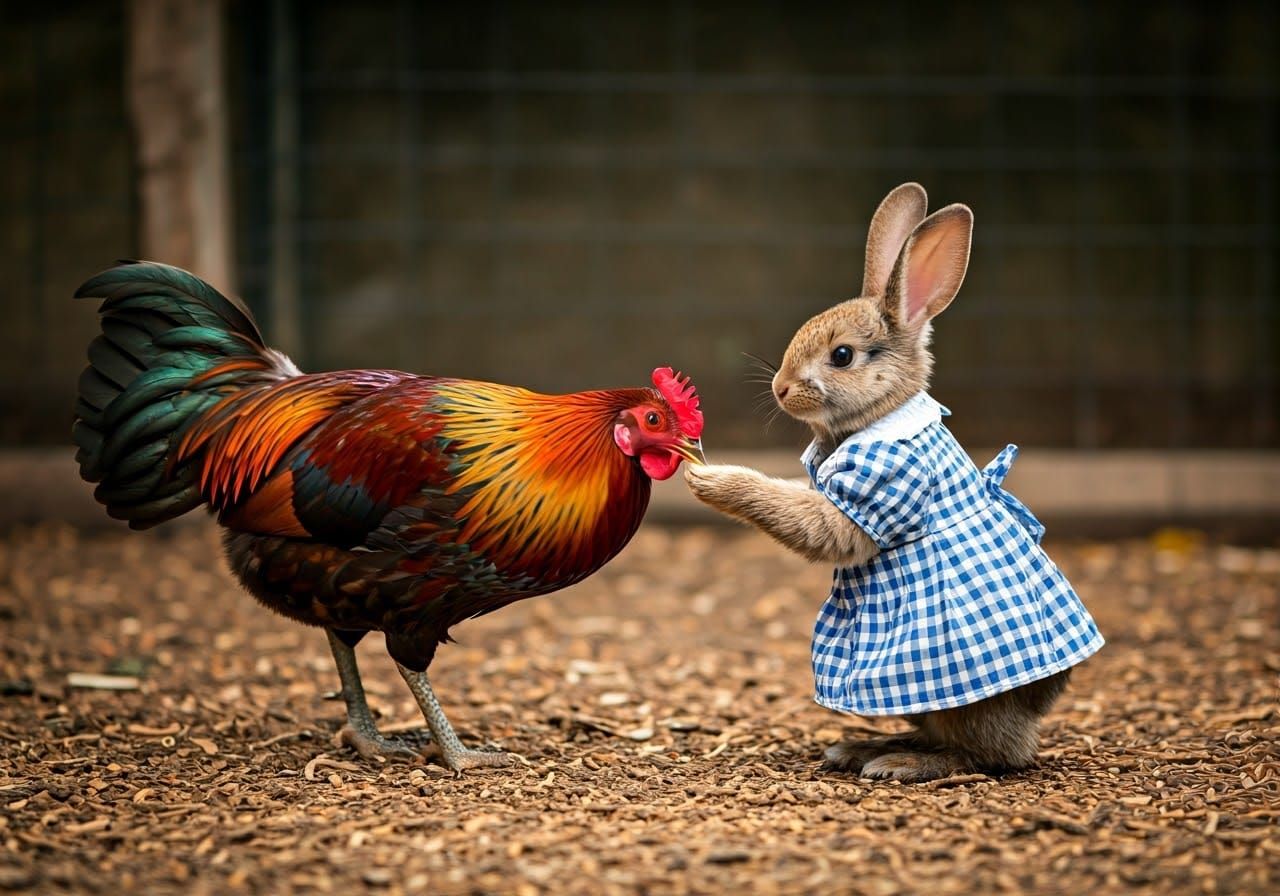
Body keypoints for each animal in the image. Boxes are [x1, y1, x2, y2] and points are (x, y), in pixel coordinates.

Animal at [685, 183, 1103, 782]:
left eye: (841, 356)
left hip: (961, 698)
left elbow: (813, 522)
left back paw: (899, 763)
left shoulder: (876, 490)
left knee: (985, 755)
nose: (782, 388)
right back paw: (861, 747)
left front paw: (710, 479)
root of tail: (1035, 712)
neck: (886, 413)